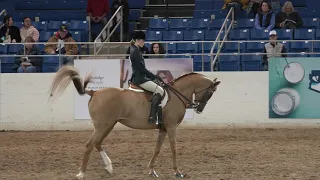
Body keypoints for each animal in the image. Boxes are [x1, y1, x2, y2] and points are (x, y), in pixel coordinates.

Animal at [48, 65, 221, 179]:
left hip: (108, 125)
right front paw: (177, 172)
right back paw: (81, 173)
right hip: (103, 126)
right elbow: (173, 148)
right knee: (90, 145)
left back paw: (109, 168)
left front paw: (152, 171)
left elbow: (157, 149)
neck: (176, 95)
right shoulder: (171, 127)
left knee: (97, 143)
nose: (199, 109)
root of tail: (95, 92)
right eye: (211, 92)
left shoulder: (163, 128)